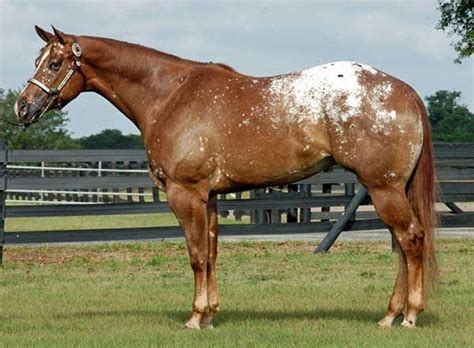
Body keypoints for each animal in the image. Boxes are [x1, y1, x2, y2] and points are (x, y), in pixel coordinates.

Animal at [13, 26, 436, 328]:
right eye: (37, 59)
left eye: (54, 64)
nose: (22, 107)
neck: (170, 95)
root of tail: (406, 93)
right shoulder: (211, 196)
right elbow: (212, 253)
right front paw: (212, 314)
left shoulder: (185, 194)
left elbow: (196, 255)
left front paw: (196, 317)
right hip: (389, 189)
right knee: (404, 245)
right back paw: (391, 314)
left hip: (383, 189)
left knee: (411, 240)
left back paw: (409, 315)